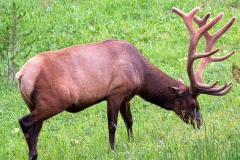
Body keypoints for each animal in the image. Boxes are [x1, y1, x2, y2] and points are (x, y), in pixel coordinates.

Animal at [15, 6, 235, 159]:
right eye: (192, 103)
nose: (200, 123)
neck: (140, 75)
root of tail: (21, 75)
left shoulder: (127, 96)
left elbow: (129, 120)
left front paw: (131, 142)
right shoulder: (115, 92)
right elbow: (112, 125)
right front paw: (112, 149)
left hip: (34, 104)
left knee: (34, 131)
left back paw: (33, 154)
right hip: (52, 102)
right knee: (24, 122)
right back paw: (33, 153)